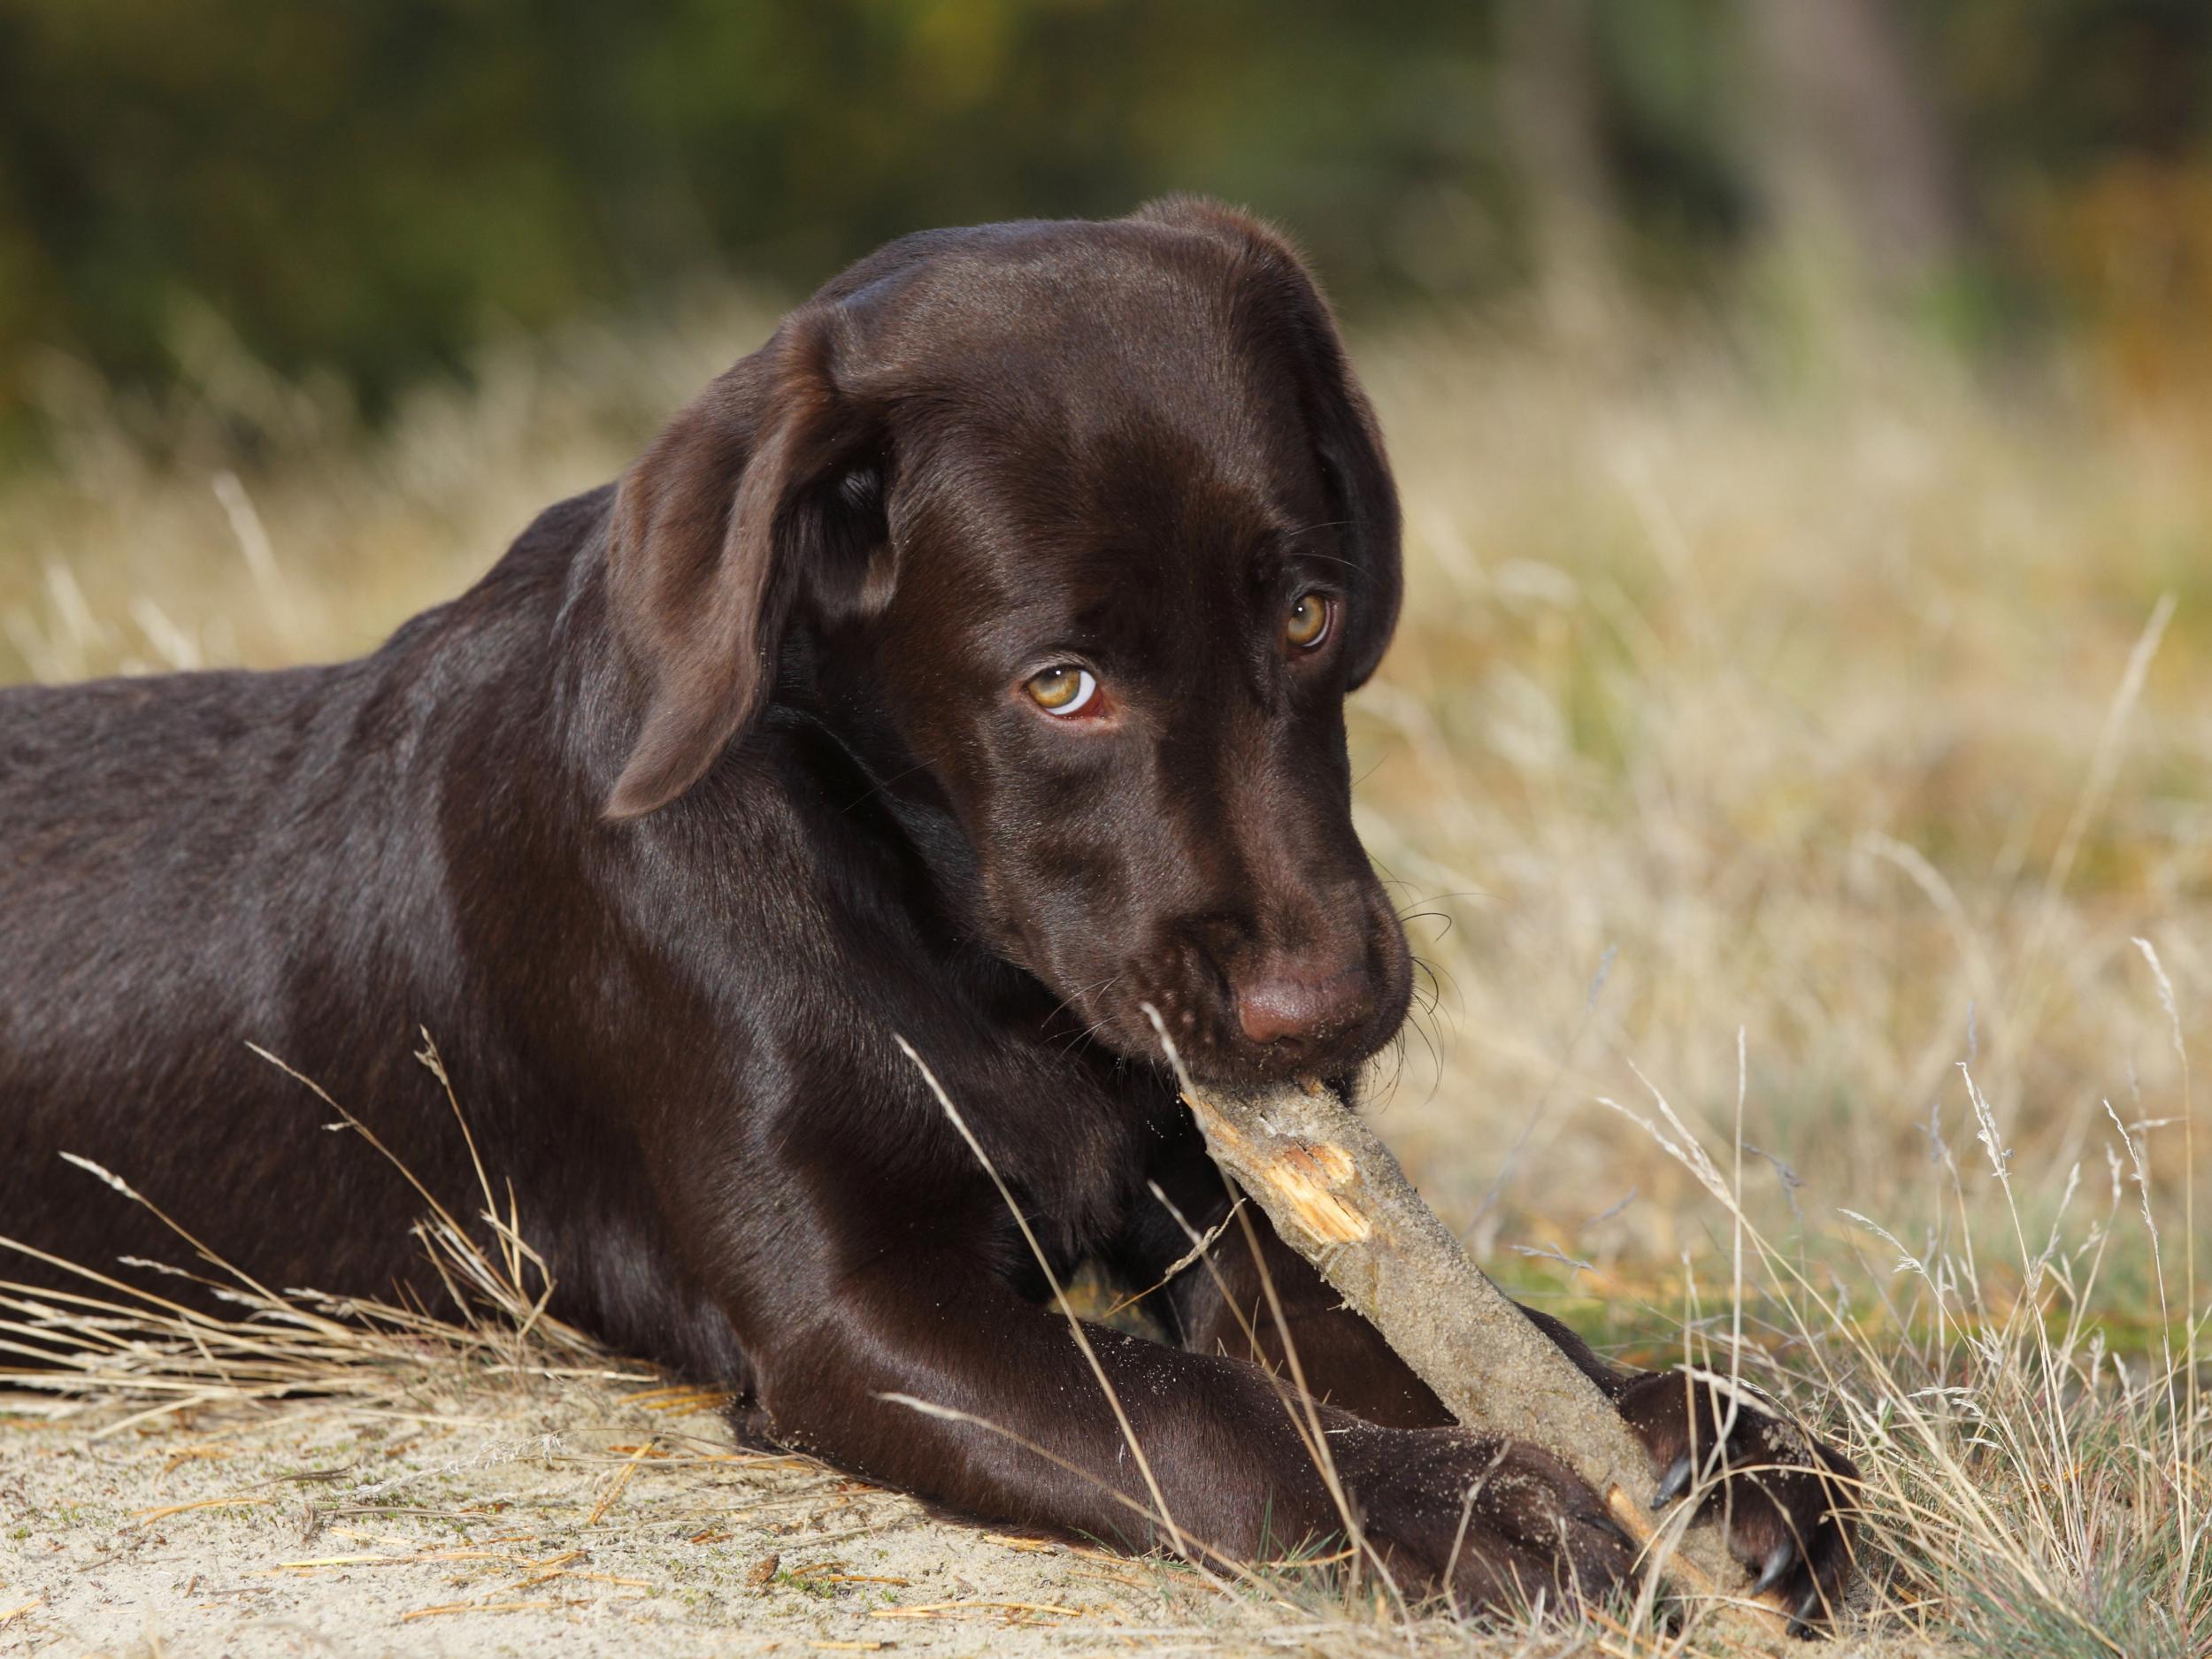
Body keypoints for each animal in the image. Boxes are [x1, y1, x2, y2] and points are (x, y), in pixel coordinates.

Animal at [0, 201, 1849, 1628]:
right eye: (1059, 685)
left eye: (1311, 613)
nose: (1320, 1018)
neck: (947, 937)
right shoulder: (857, 1315)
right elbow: (1193, 1415)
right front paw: (1476, 1507)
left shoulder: (1230, 1201)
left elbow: (1449, 1333)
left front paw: (1698, 1437)